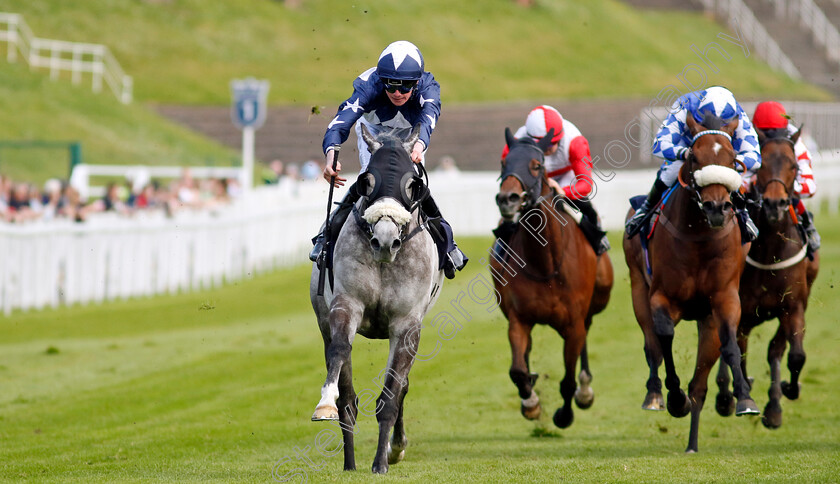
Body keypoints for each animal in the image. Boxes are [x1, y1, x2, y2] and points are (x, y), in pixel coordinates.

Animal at [310, 124, 446, 472]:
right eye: (366, 181)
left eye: (412, 184)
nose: (385, 240)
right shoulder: (346, 304)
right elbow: (340, 352)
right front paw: (325, 404)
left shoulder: (406, 324)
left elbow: (393, 392)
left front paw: (383, 460)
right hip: (322, 318)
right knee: (348, 398)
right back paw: (349, 462)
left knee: (401, 387)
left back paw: (393, 448)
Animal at [488, 127, 612, 428]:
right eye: (503, 164)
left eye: (537, 165)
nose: (507, 199)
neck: (545, 265)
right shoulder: (518, 319)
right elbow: (517, 370)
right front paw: (531, 403)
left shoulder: (574, 324)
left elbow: (567, 380)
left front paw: (565, 414)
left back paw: (585, 390)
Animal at [624, 114, 760, 454]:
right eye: (694, 157)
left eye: (733, 160)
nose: (716, 208)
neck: (698, 237)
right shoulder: (662, 298)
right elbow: (664, 336)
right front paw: (675, 399)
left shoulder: (723, 300)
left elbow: (730, 344)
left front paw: (744, 398)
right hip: (638, 290)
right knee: (652, 345)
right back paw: (655, 395)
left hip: (705, 321)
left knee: (700, 384)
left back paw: (692, 443)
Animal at [716, 127, 820, 428]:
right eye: (761, 165)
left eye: (794, 165)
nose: (775, 204)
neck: (771, 252)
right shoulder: (742, 311)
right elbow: (736, 351)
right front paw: (732, 394)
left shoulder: (793, 306)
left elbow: (795, 355)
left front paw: (786, 391)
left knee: (775, 350)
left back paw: (773, 405)